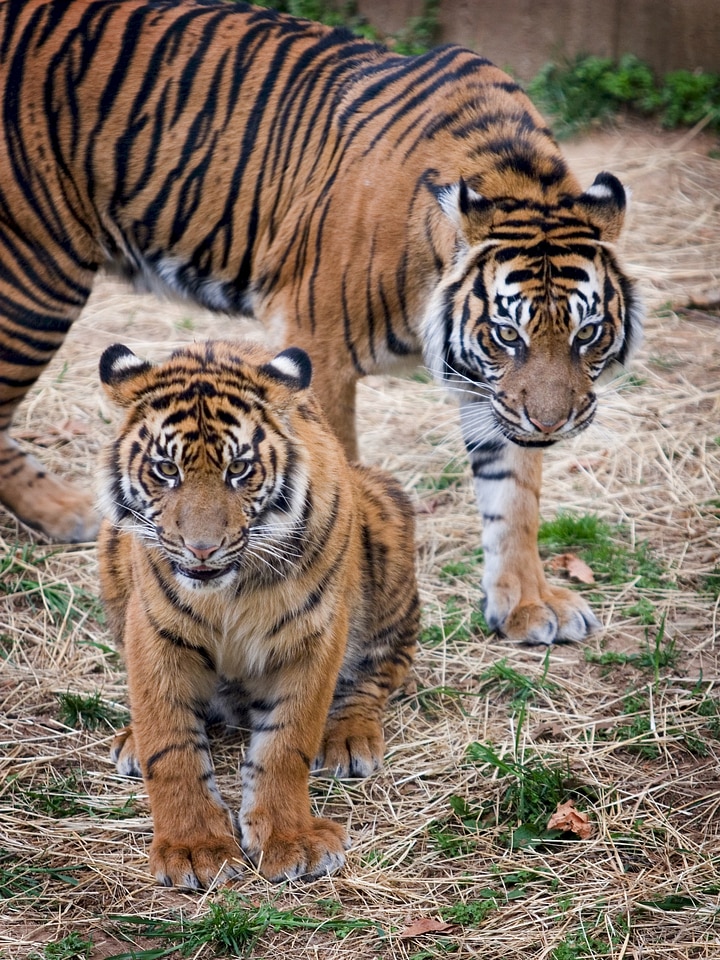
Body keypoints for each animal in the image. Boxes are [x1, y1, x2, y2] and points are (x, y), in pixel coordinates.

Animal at [0, 1, 640, 644]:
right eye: (509, 334)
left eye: (586, 333)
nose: (552, 424)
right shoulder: (317, 344)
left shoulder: (494, 394)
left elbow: (513, 495)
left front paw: (526, 604)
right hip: (37, 275)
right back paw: (69, 513)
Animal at [98, 340, 420, 884]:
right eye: (167, 470)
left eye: (239, 470)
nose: (202, 549)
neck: (229, 589)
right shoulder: (155, 635)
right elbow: (171, 745)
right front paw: (194, 848)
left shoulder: (313, 637)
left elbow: (288, 742)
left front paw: (291, 840)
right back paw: (131, 742)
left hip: (386, 515)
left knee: (384, 666)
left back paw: (350, 738)